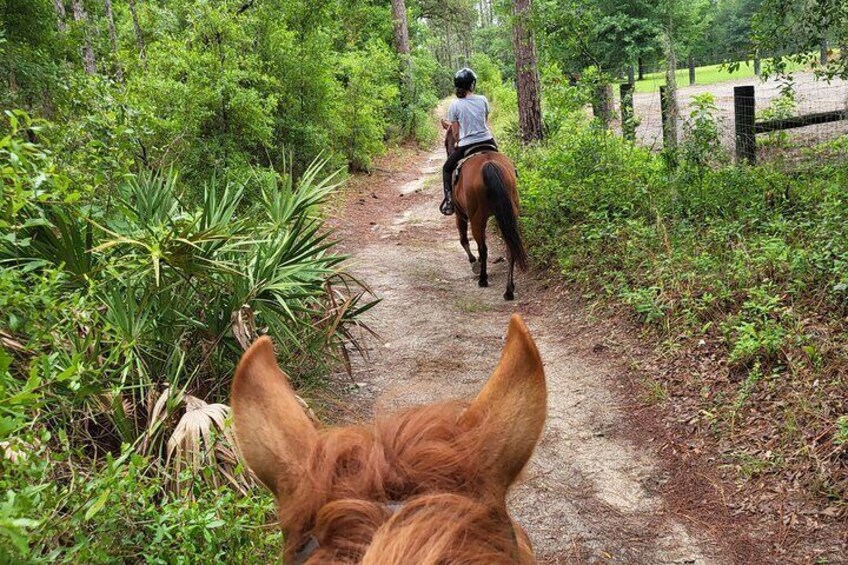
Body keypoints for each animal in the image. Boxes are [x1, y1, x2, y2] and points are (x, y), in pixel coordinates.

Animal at [440, 119, 528, 300]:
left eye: (446, 141)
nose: (448, 150)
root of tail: (489, 164)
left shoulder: (460, 215)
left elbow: (463, 240)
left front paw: (475, 263)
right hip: (510, 214)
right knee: (510, 247)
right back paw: (509, 290)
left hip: (476, 218)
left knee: (483, 247)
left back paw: (483, 279)